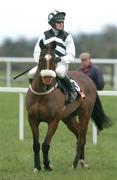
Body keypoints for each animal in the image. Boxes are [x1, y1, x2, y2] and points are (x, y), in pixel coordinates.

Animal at [25, 39, 111, 172]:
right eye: (41, 58)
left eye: (54, 59)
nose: (47, 78)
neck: (42, 94)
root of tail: (89, 79)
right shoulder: (32, 119)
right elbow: (36, 144)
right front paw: (37, 167)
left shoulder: (54, 120)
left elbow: (45, 144)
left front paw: (48, 165)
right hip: (69, 118)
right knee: (79, 136)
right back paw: (82, 162)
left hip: (85, 114)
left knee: (81, 139)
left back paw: (74, 165)